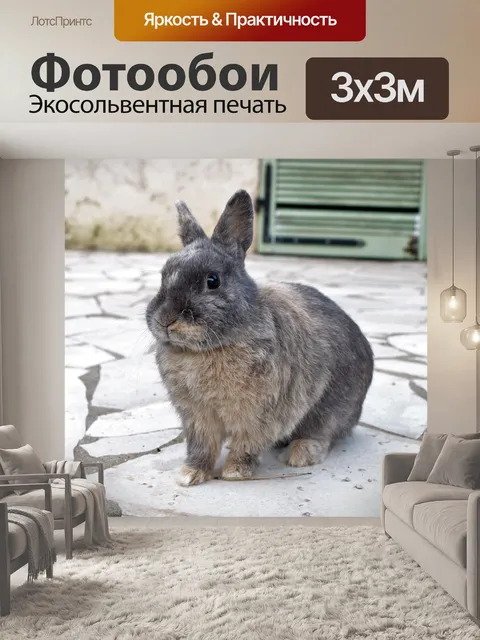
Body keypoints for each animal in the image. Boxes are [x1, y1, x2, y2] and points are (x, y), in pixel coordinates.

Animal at [146, 190, 374, 486]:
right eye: (163, 276)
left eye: (213, 280)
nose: (165, 320)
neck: (210, 348)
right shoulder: (197, 418)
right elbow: (202, 447)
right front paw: (190, 475)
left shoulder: (260, 415)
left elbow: (246, 444)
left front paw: (235, 472)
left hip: (332, 408)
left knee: (324, 433)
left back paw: (300, 454)